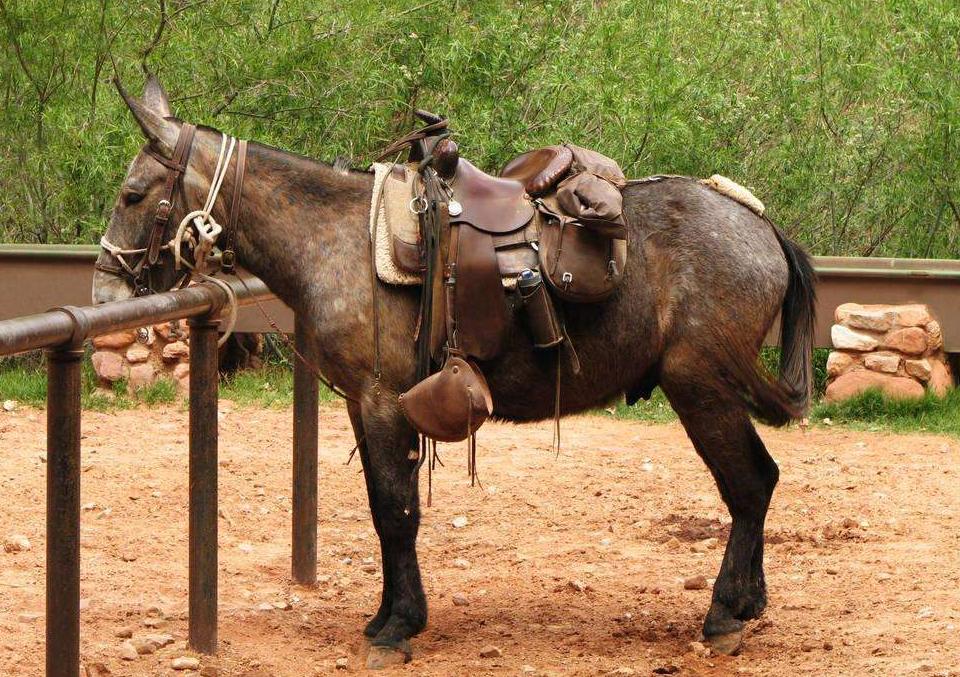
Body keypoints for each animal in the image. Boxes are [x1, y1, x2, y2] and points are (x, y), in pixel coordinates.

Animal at [93, 76, 815, 668]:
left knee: (750, 484)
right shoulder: (364, 405)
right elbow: (386, 507)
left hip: (701, 387)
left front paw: (397, 629)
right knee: (759, 481)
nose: (103, 292)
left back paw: (724, 613)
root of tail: (763, 228)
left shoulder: (383, 401)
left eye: (132, 193)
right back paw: (747, 602)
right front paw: (387, 615)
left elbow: (395, 511)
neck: (336, 239)